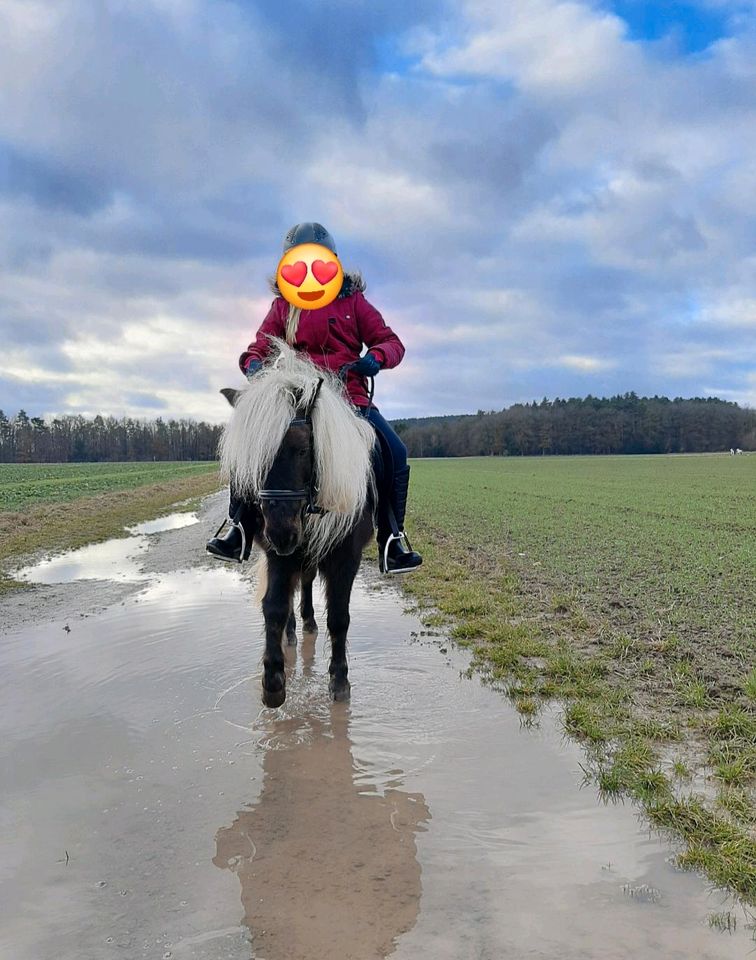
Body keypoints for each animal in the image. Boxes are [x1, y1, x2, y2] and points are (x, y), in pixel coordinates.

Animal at [219, 342, 378, 708]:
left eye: (304, 448)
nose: (281, 533)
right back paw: (294, 631)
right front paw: (273, 681)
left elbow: (339, 617)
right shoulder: (279, 555)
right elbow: (274, 607)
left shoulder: (345, 556)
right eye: (251, 460)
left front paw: (340, 681)